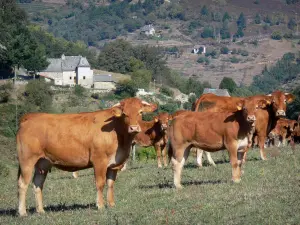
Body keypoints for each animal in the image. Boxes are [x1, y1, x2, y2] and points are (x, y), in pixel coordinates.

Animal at [16, 97, 157, 217]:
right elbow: (100, 183)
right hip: (27, 161)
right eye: (125, 114)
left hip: (43, 163)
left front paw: (111, 204)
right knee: (23, 184)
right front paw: (100, 205)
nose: (134, 128)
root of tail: (30, 116)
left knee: (37, 184)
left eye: (140, 112)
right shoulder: (99, 161)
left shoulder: (113, 164)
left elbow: (110, 183)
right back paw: (22, 212)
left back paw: (41, 210)